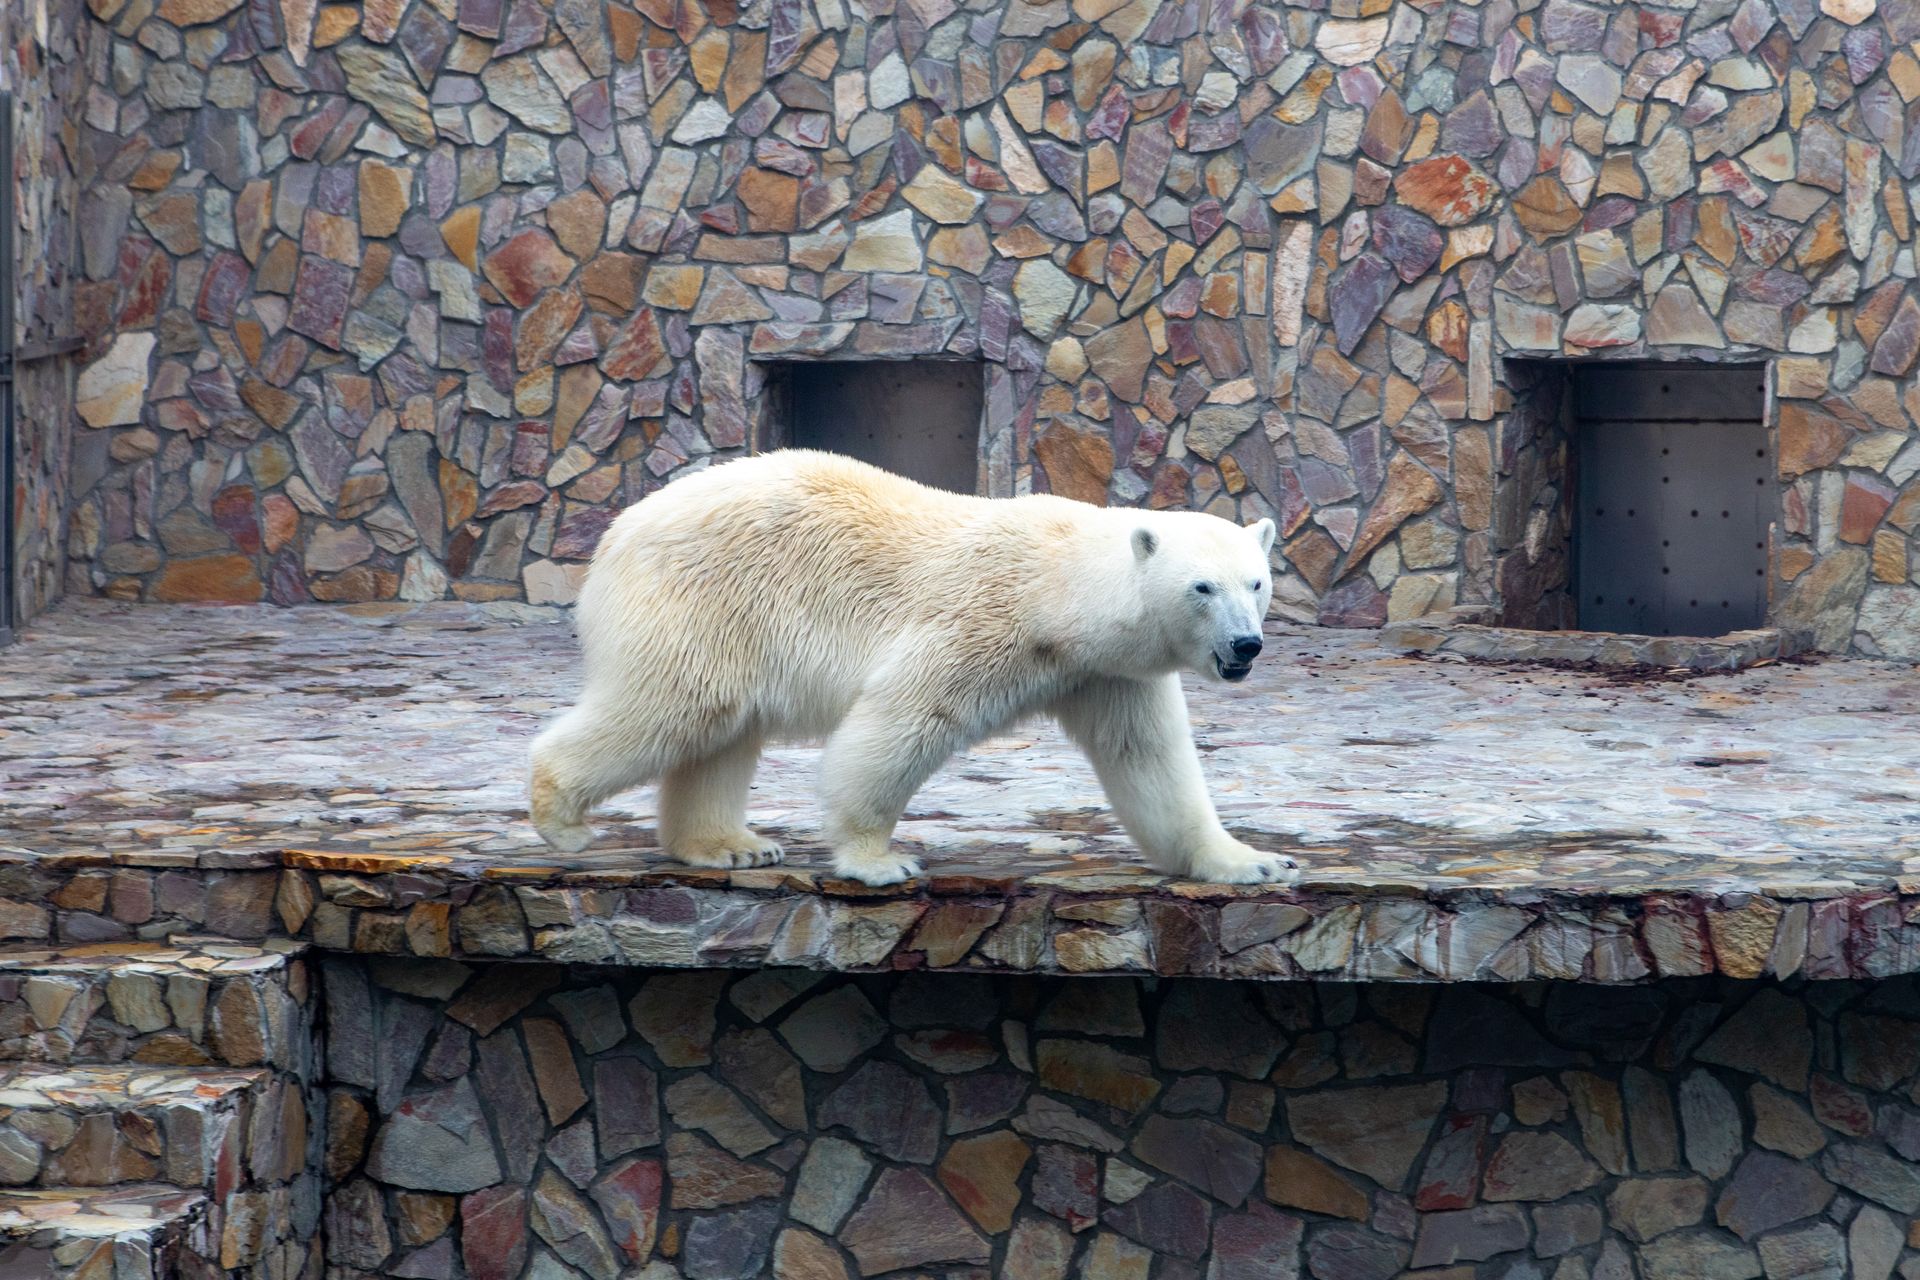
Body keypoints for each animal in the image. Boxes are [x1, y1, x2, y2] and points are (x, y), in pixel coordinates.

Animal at [533, 452, 1297, 890]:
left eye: (1256, 582)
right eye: (1202, 587)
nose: (1246, 646)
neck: (1059, 590)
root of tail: (616, 531)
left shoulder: (1106, 674)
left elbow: (1150, 759)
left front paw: (1250, 861)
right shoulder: (980, 623)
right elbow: (903, 722)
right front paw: (878, 860)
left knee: (720, 729)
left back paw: (728, 847)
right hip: (701, 596)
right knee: (680, 704)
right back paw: (562, 817)